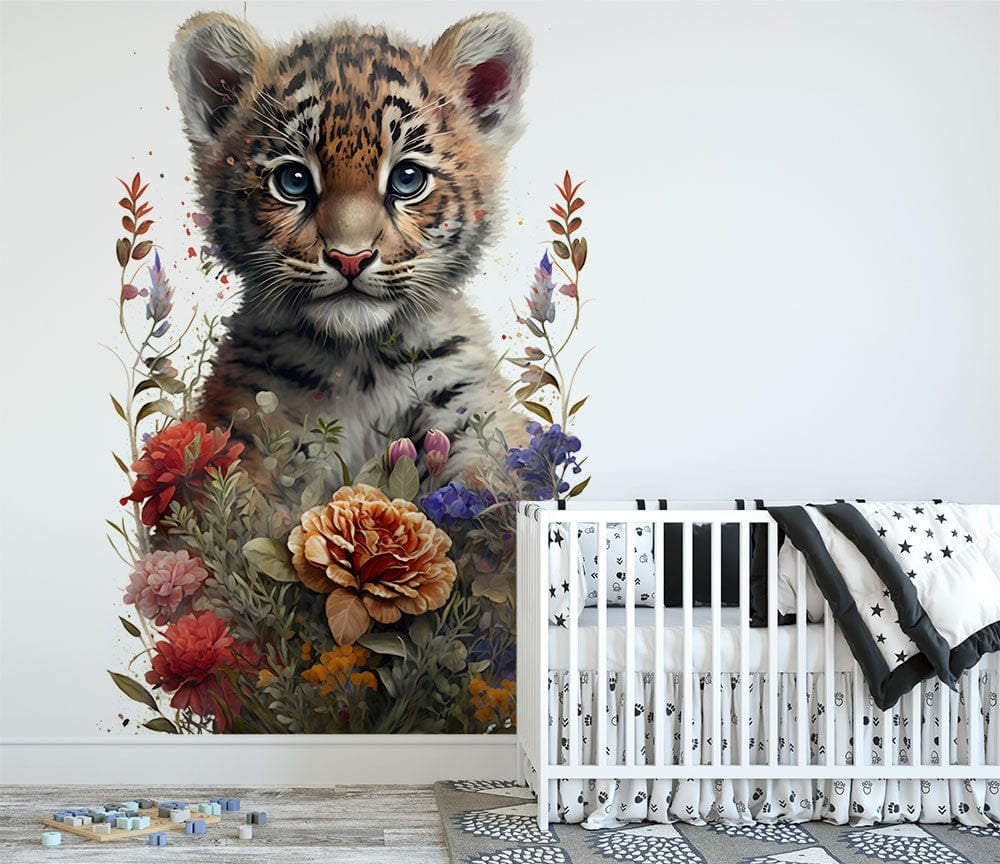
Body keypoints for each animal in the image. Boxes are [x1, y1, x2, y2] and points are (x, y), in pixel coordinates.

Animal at [168, 11, 531, 493]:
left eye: (408, 179)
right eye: (294, 181)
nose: (350, 258)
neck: (362, 365)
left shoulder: (474, 415)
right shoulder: (247, 429)